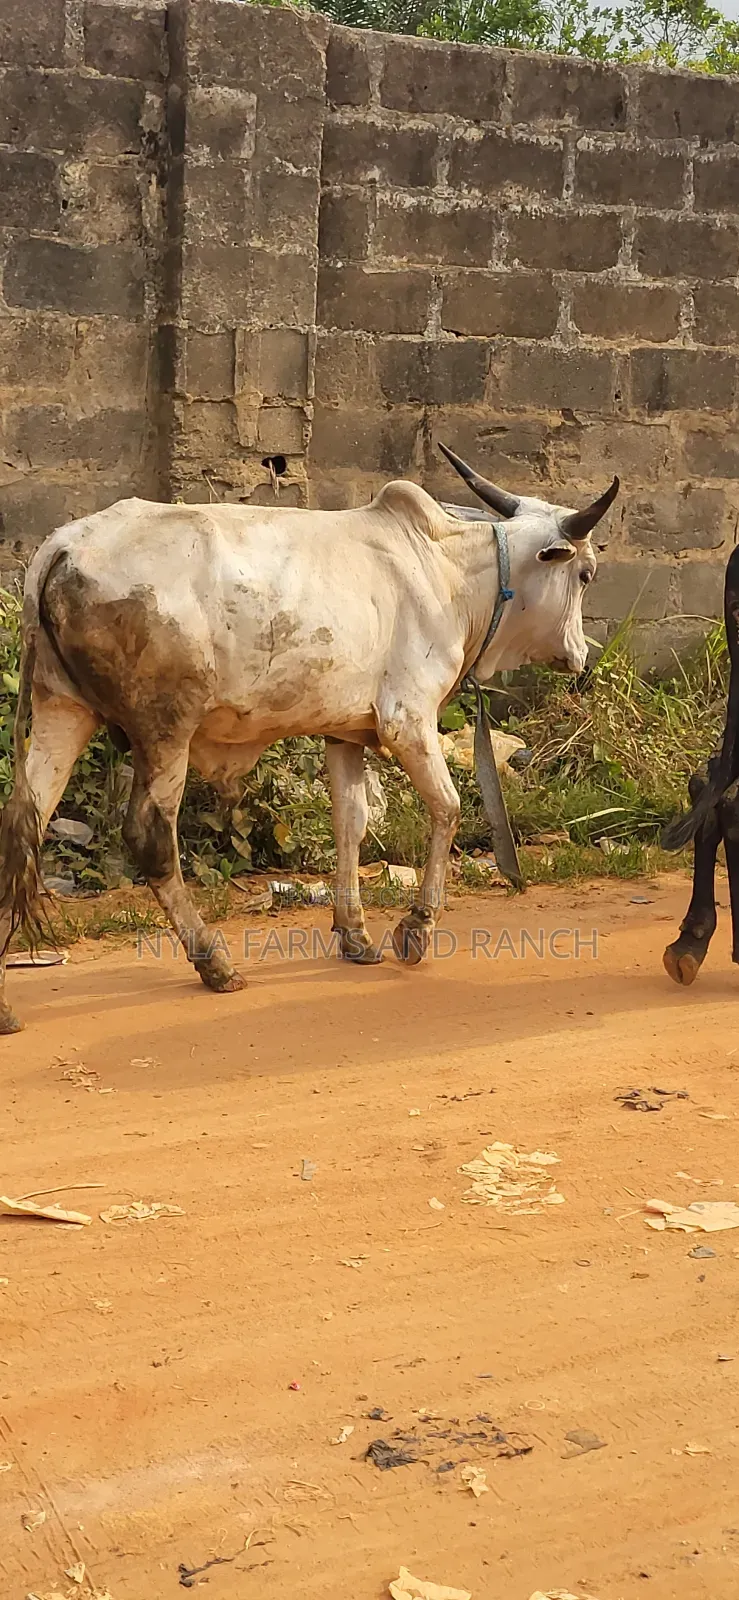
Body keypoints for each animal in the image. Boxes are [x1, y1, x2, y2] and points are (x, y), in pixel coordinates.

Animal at [0, 450, 619, 1033]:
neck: (449, 573)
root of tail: (62, 547)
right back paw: (213, 962)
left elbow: (351, 824)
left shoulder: (346, 733)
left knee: (22, 828)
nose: (581, 657)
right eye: (585, 574)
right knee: (150, 837)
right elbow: (447, 808)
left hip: (62, 710)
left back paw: (7, 1006)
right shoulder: (408, 719)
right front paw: (415, 929)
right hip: (165, 728)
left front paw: (355, 935)